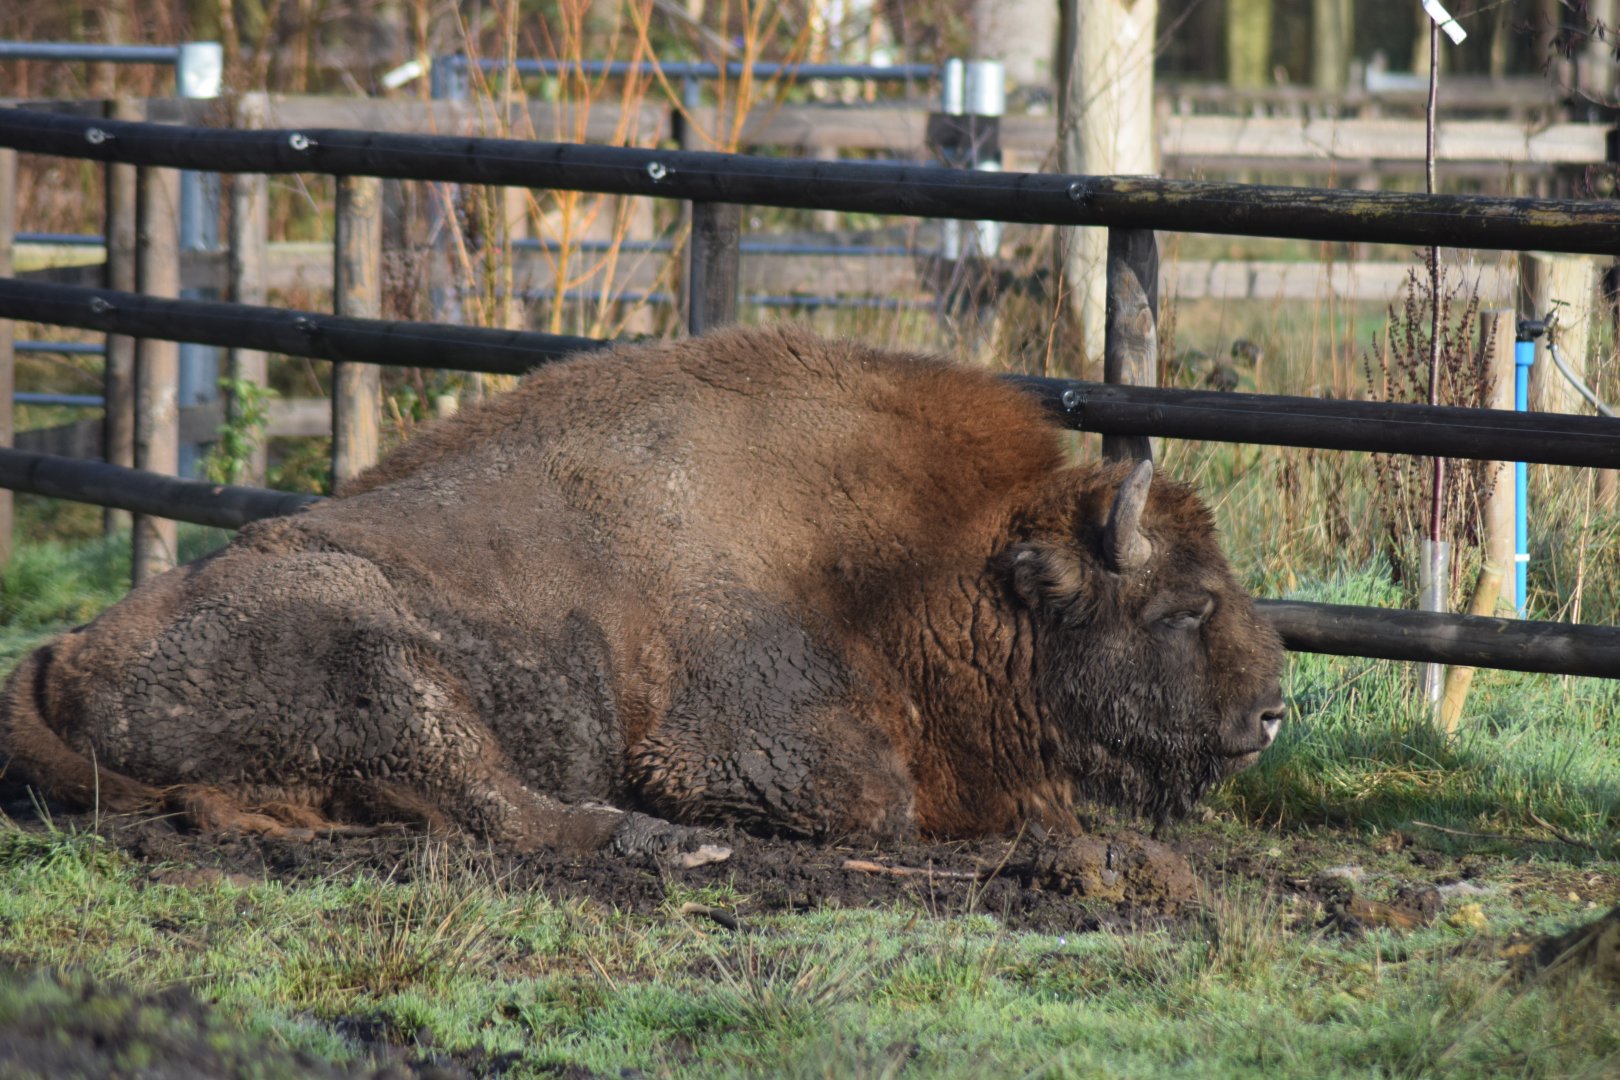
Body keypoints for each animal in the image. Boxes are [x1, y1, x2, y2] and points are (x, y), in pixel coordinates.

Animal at [0, 326, 1285, 858]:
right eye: (1182, 608)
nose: (1273, 713)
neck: (929, 566)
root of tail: (63, 654)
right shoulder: (738, 744)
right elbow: (883, 804)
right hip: (386, 666)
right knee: (502, 808)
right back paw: (668, 847)